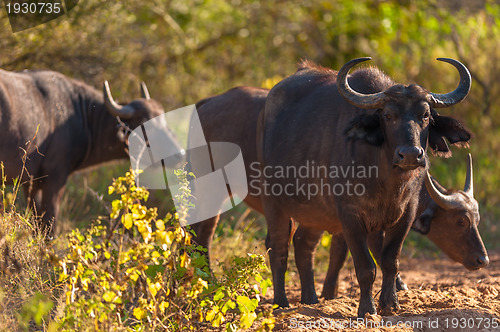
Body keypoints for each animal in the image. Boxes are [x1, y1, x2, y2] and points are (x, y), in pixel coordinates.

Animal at [0, 69, 184, 236]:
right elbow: (48, 225)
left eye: (163, 120)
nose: (180, 153)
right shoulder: (55, 179)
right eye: (147, 126)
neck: (81, 116)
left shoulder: (30, 183)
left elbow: (37, 223)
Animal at [258, 58, 472, 318]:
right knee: (278, 247)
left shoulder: (405, 215)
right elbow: (366, 267)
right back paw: (281, 303)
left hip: (314, 214)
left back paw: (311, 300)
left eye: (425, 115)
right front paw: (367, 309)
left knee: (302, 244)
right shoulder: (350, 217)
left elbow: (390, 261)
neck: (386, 180)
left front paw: (390, 304)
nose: (411, 154)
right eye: (388, 115)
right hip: (274, 203)